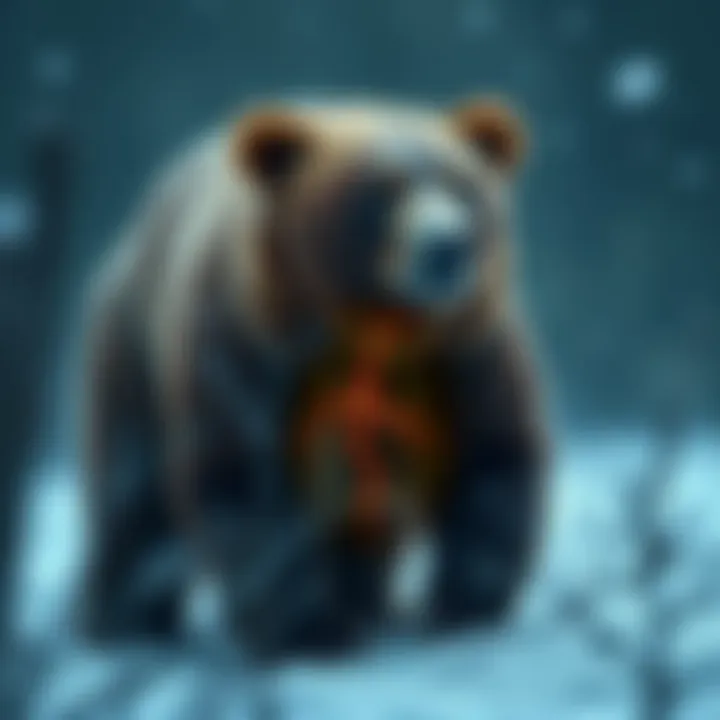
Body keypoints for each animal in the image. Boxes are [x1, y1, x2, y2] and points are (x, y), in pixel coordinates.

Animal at [79, 94, 548, 657]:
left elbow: (491, 461)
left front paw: (455, 606)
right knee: (135, 501)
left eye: (462, 188)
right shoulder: (247, 350)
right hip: (133, 351)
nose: (447, 247)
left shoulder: (464, 353)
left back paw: (371, 603)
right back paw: (124, 621)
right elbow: (252, 485)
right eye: (381, 194)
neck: (375, 326)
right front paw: (310, 629)